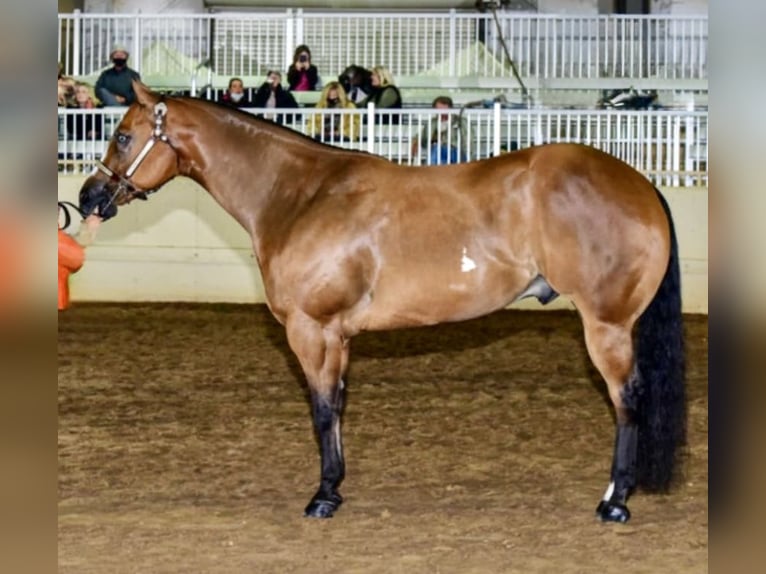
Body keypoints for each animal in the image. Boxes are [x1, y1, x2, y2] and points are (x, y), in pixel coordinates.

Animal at [78, 81, 686, 523]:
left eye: (125, 136)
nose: (89, 197)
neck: (300, 195)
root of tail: (639, 182)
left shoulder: (311, 329)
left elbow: (322, 410)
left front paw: (322, 497)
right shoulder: (338, 336)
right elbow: (338, 406)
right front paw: (336, 487)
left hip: (606, 324)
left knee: (627, 399)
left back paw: (615, 502)